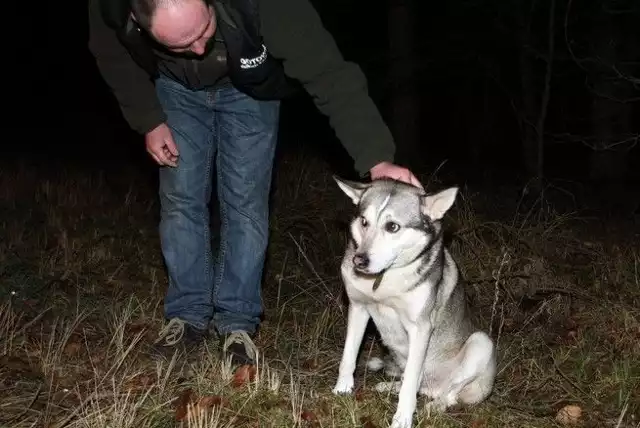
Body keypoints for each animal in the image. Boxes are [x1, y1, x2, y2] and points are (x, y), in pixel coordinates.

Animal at [332, 176, 498, 428]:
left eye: (392, 227)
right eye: (364, 221)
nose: (359, 261)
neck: (385, 278)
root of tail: (432, 388)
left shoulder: (420, 328)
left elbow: (411, 382)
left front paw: (402, 418)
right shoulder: (358, 308)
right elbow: (348, 356)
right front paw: (342, 389)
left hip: (481, 343)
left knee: (448, 393)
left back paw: (435, 406)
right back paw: (390, 386)